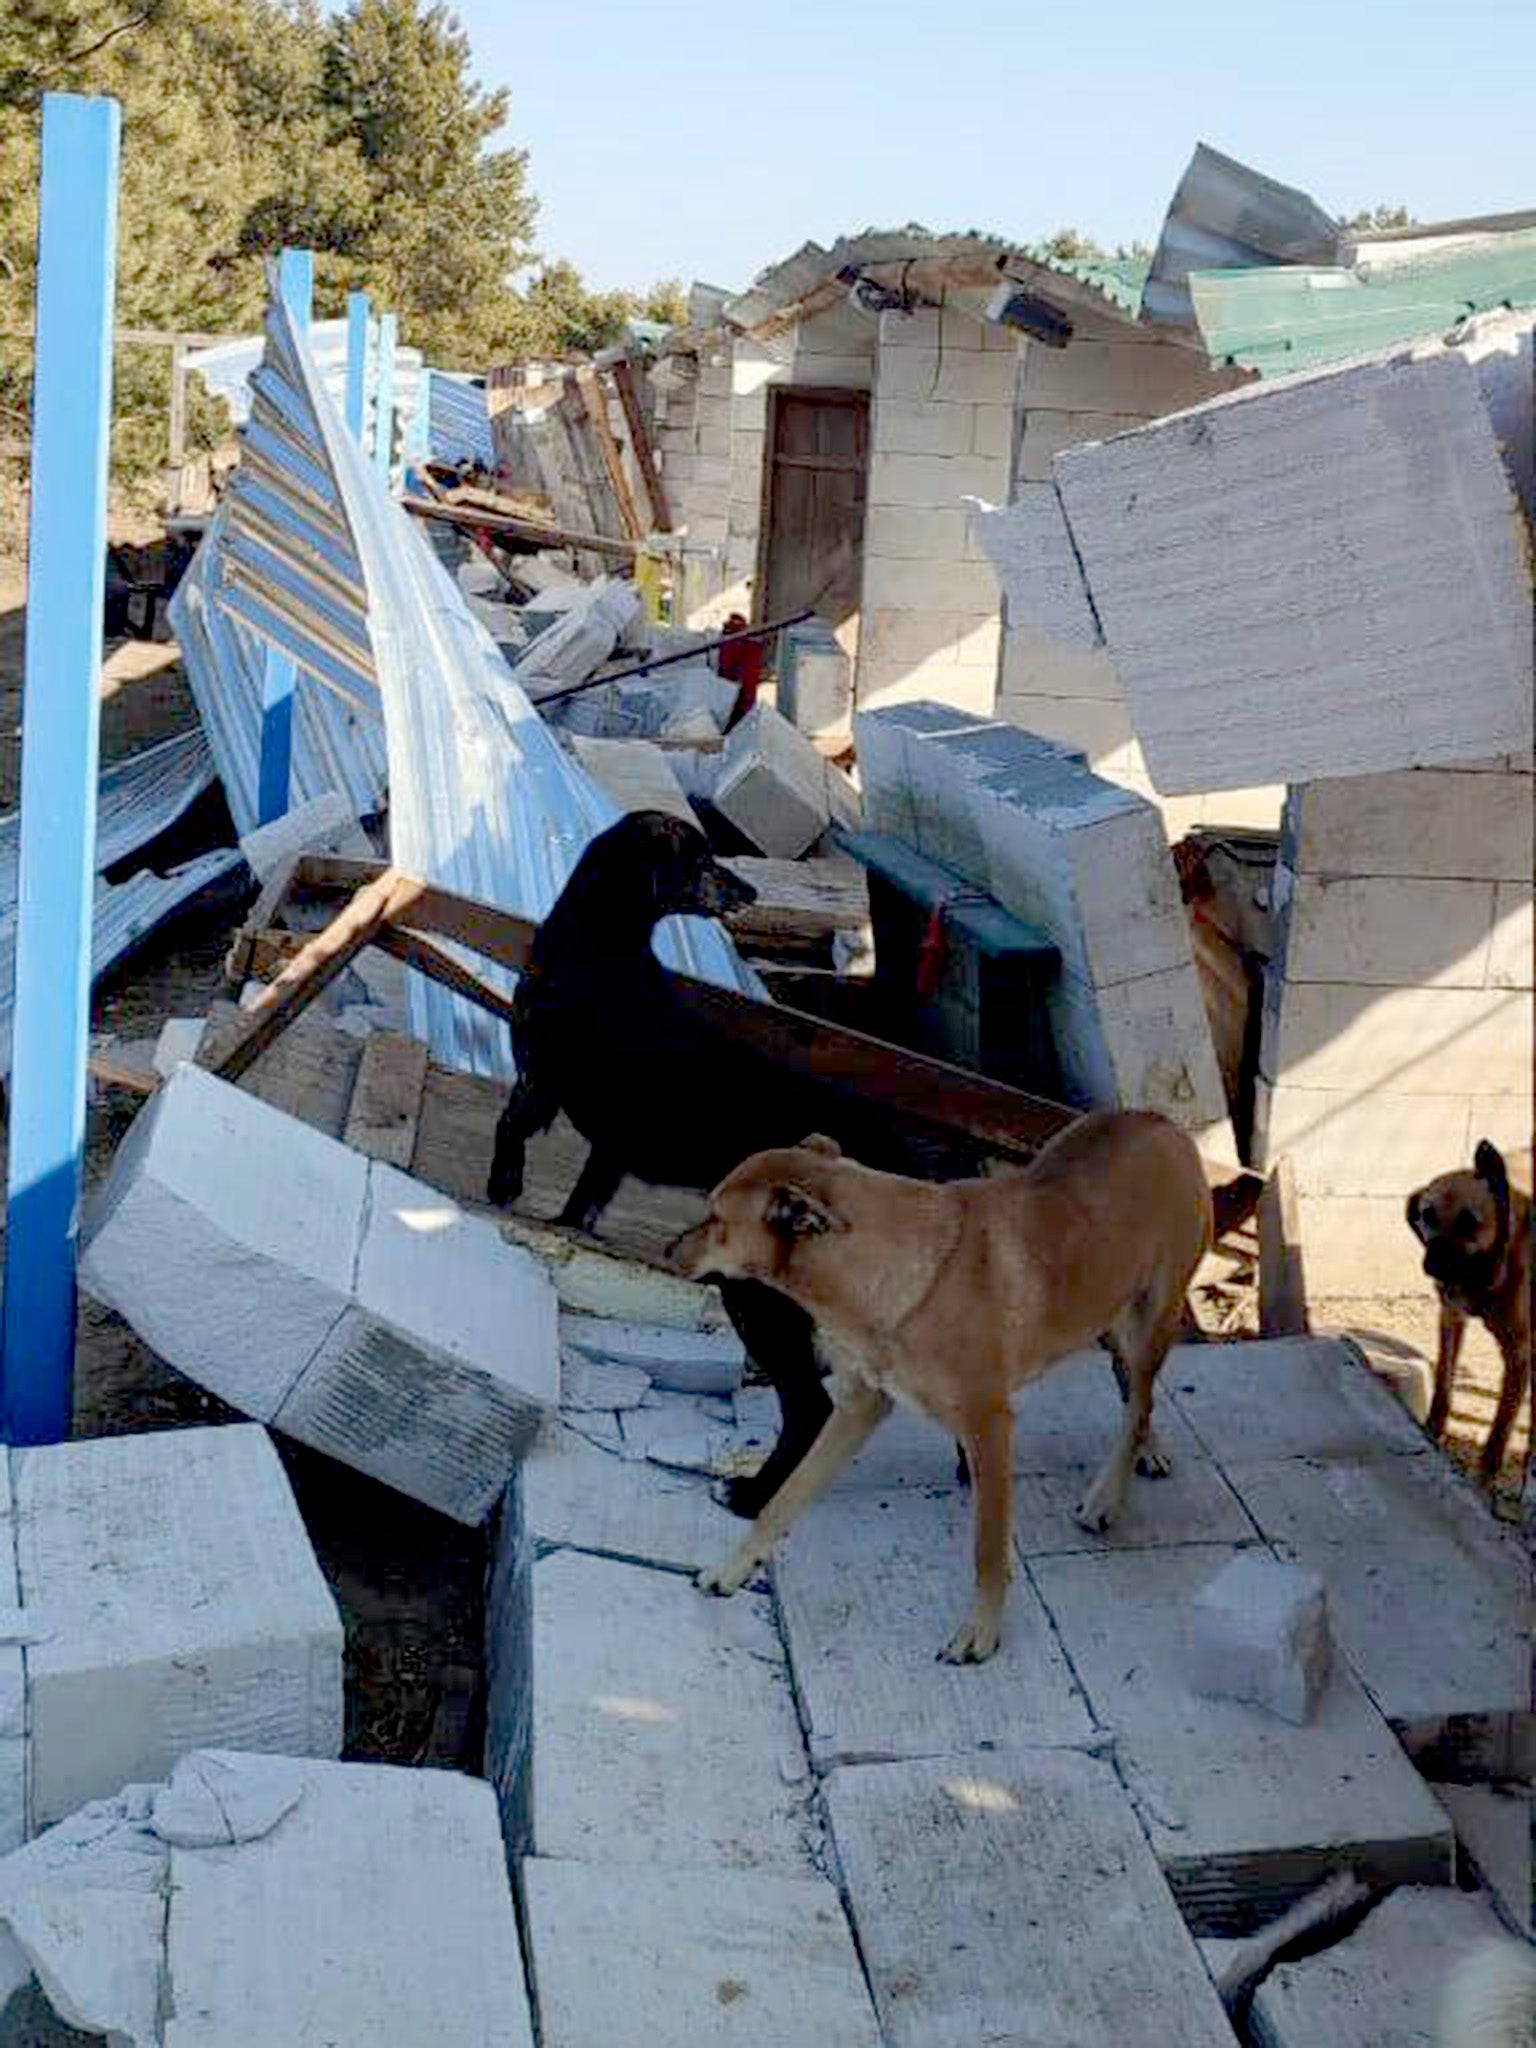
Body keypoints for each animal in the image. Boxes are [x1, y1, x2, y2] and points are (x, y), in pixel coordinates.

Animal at [487, 806, 978, 1515]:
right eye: (701, 859)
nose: (747, 892)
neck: (600, 942)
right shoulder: (607, 1144)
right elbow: (585, 1197)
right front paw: (561, 1225)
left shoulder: (542, 1079)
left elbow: (509, 1127)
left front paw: (503, 1184)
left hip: (759, 1300)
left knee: (809, 1408)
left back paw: (752, 1496)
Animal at [671, 1105, 1212, 1662]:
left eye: (715, 1220)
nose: (668, 1250)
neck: (896, 1271)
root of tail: (1158, 1118)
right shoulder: (861, 1408)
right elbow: (786, 1499)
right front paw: (731, 1570)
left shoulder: (989, 1425)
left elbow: (986, 1548)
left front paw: (981, 1633)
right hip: (1106, 1311)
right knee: (1132, 1391)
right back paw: (1147, 1452)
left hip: (1149, 1320)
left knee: (1138, 1402)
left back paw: (1107, 1495)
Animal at [1417, 1138, 1531, 1507]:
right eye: (1427, 1215)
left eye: (1471, 1222)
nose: (1433, 1266)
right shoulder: (1451, 1319)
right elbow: (1443, 1382)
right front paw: (1430, 1432)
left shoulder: (1520, 1356)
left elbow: (1499, 1432)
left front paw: (1482, 1480)